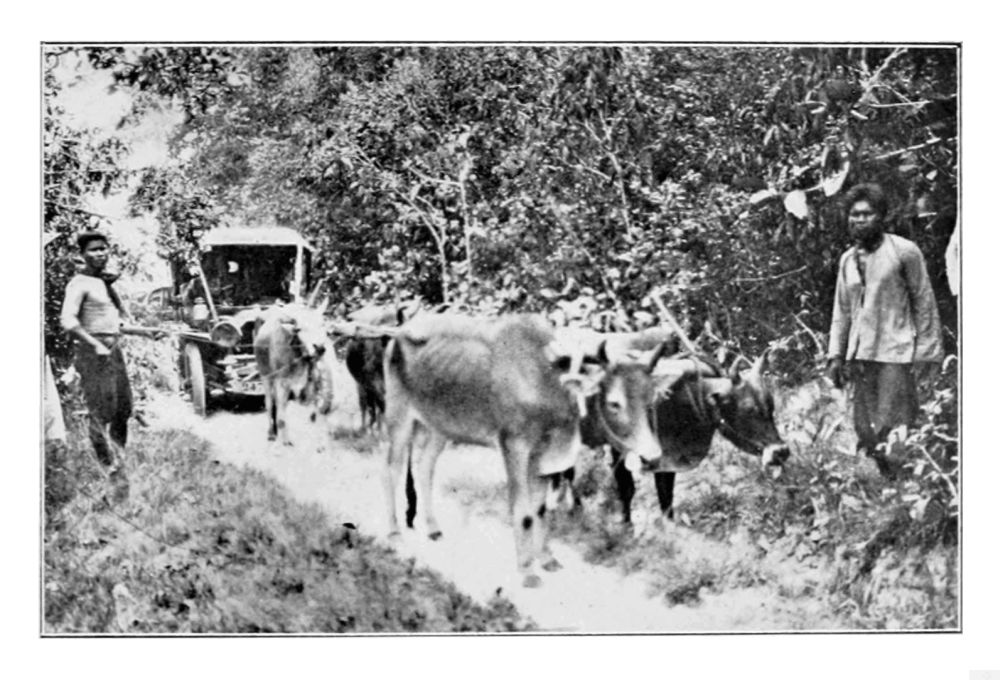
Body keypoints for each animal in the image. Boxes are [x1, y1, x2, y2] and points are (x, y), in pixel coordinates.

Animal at [253, 303, 335, 445]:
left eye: (322, 324)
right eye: (300, 329)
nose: (319, 348)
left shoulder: (311, 383)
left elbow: (312, 415)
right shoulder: (282, 383)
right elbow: (281, 416)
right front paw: (285, 440)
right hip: (266, 376)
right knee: (269, 403)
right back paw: (271, 433)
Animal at [382, 313, 668, 588]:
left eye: (650, 400)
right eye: (614, 403)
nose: (652, 454)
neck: (549, 382)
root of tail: (400, 332)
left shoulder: (544, 456)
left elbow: (539, 509)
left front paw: (546, 558)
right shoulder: (515, 446)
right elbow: (523, 511)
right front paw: (527, 571)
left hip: (439, 426)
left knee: (424, 467)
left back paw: (433, 528)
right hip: (399, 414)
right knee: (392, 470)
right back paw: (393, 532)